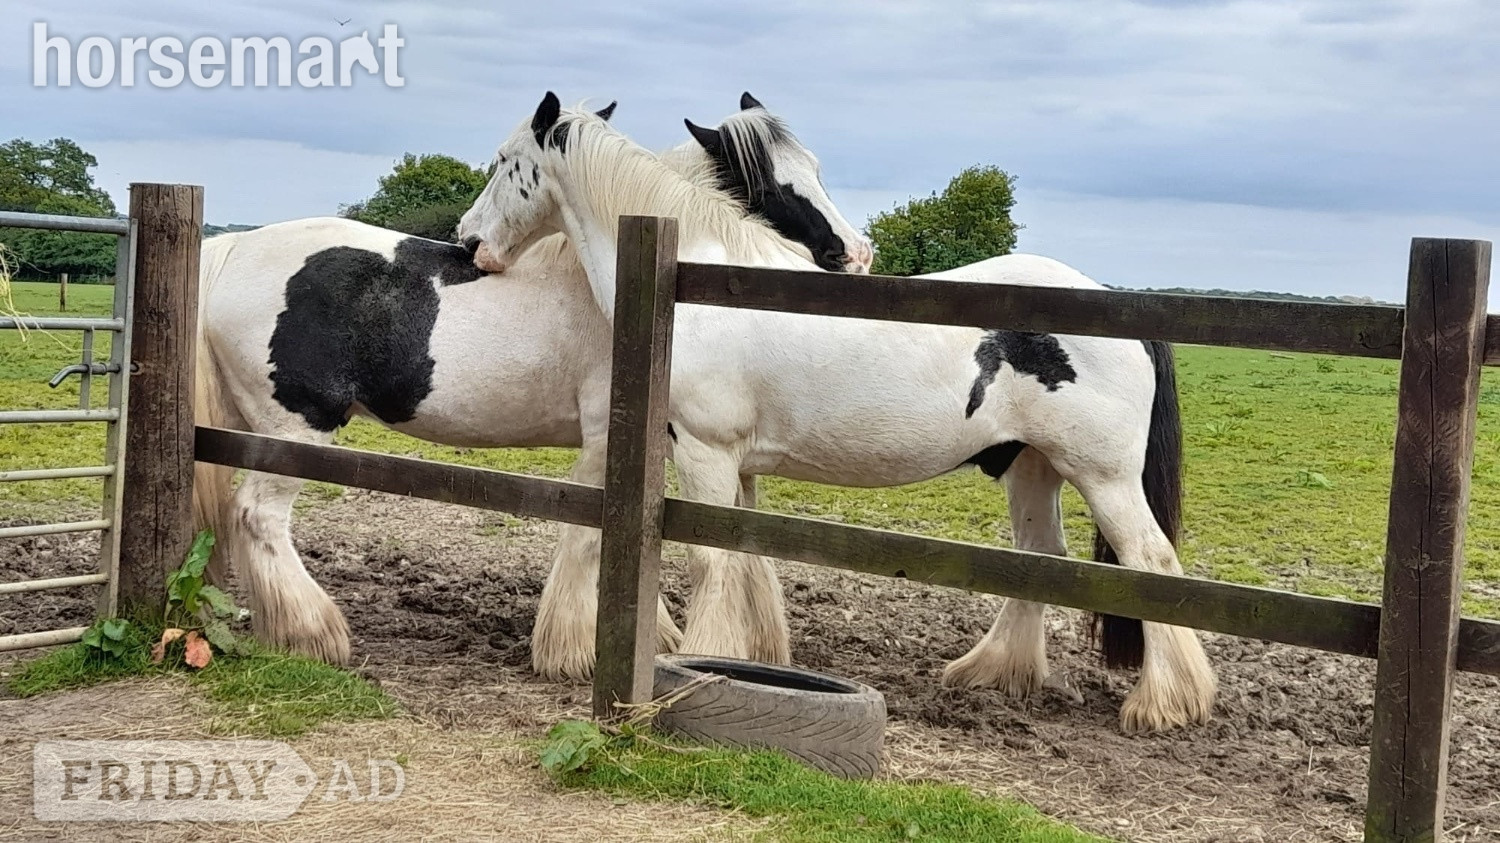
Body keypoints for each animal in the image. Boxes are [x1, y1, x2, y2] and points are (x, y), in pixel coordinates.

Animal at [191, 93, 874, 673]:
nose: (856, 255)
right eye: (769, 184)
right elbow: (593, 538)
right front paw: (577, 649)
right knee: (258, 516)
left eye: (814, 168)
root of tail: (231, 250)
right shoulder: (607, 435)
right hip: (296, 429)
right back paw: (314, 633)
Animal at [456, 93, 1215, 734]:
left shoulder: (705, 451)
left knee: (1151, 564)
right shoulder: (740, 465)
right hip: (1032, 468)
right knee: (1038, 561)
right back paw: (994, 673)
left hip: (1103, 475)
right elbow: (744, 557)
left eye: (502, 161)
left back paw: (1163, 703)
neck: (693, 279)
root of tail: (1116, 302)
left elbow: (710, 560)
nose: (468, 239)